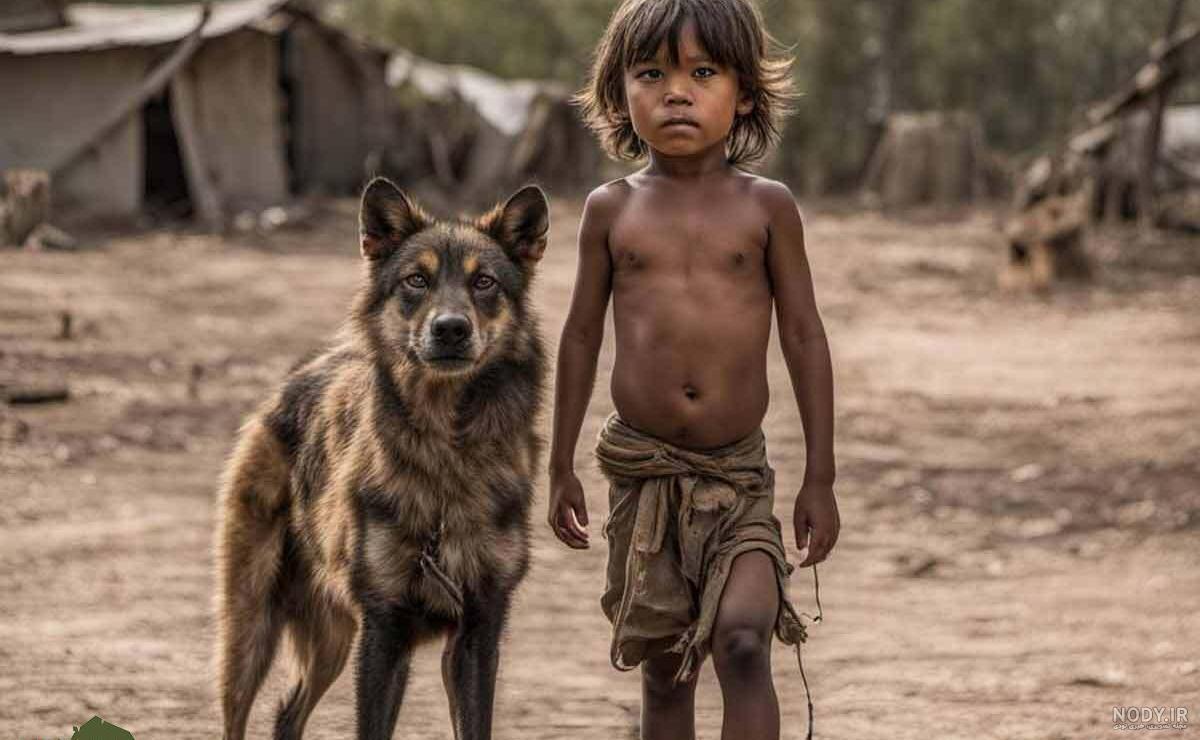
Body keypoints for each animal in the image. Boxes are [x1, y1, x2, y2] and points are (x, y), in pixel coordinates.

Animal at [214, 177, 549, 740]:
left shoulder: (477, 634)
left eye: (484, 283)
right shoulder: (385, 630)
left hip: (331, 636)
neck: (446, 456)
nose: (451, 329)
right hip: (250, 628)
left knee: (287, 711)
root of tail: (304, 371)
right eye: (417, 280)